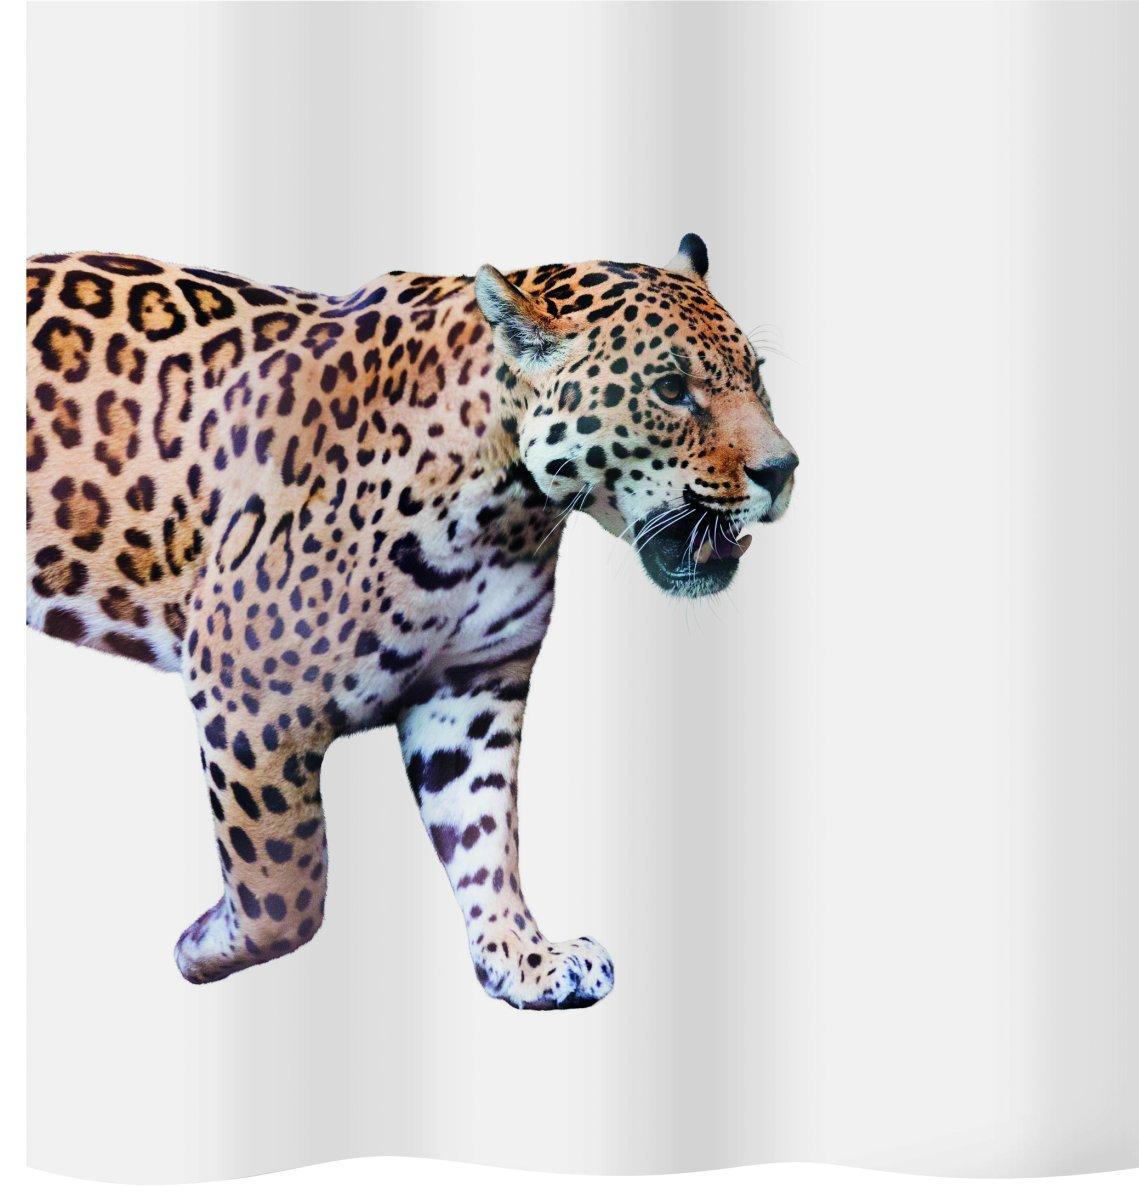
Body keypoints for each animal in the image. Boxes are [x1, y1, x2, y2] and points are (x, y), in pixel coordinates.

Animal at [26, 234, 798, 1009]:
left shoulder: (472, 689)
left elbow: (483, 831)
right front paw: (201, 945)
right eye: (671, 390)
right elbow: (286, 881)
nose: (784, 470)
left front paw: (523, 955)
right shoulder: (249, 692)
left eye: (758, 377)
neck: (508, 513)